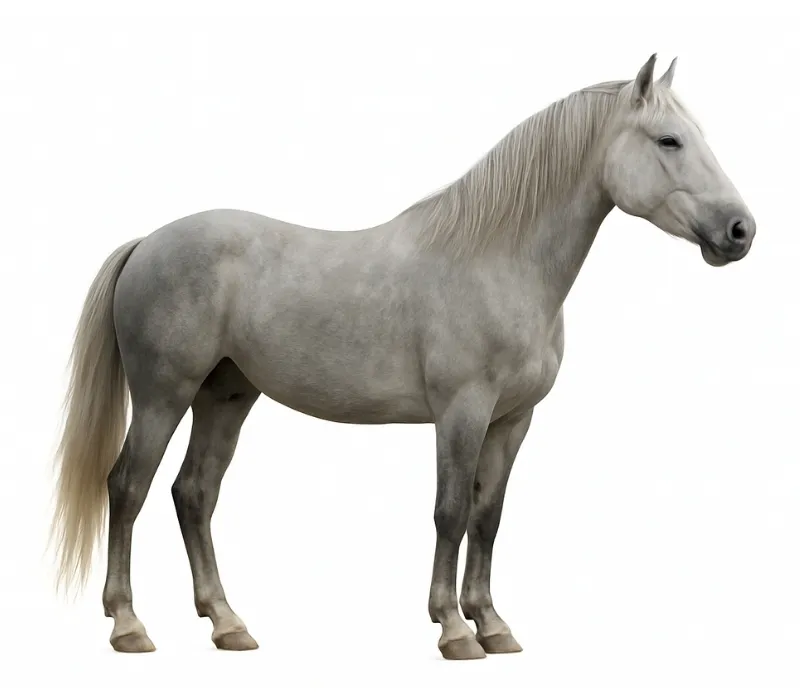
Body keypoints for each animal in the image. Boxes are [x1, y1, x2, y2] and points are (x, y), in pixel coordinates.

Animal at [49, 54, 756, 661]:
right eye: (669, 141)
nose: (741, 231)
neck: (498, 259)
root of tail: (148, 243)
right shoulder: (461, 412)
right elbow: (450, 512)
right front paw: (453, 629)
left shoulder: (512, 420)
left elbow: (488, 517)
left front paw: (492, 624)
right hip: (163, 395)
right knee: (128, 487)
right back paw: (129, 624)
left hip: (226, 397)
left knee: (194, 493)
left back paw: (227, 623)